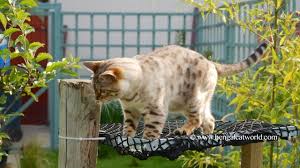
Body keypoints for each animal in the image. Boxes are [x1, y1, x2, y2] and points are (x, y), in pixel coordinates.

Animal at [84, 42, 268, 140]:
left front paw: (145, 144)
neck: (130, 96)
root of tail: (210, 62)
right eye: (93, 89)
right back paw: (206, 140)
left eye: (102, 91)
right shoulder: (130, 111)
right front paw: (126, 140)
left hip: (192, 100)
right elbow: (128, 128)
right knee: (209, 120)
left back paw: (183, 130)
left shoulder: (156, 111)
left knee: (197, 120)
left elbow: (151, 131)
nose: (97, 99)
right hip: (199, 102)